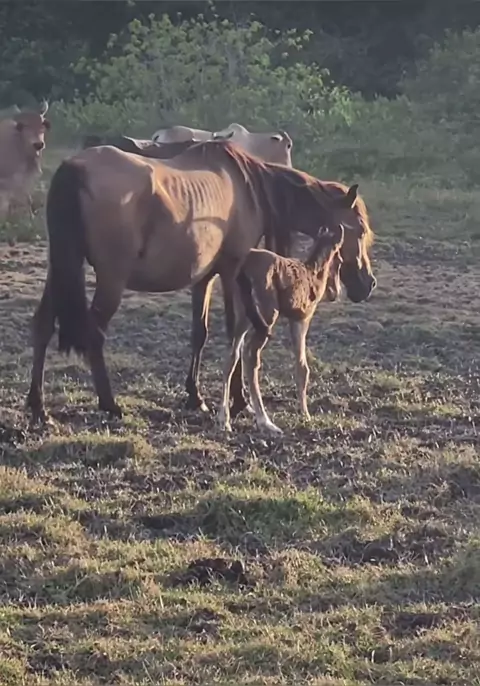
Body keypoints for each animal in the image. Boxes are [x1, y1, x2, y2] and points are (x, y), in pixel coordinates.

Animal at [26, 140, 376, 422]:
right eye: (358, 229)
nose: (367, 283)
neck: (248, 188)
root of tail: (75, 169)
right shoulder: (233, 271)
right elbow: (234, 334)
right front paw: (238, 401)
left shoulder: (204, 278)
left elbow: (200, 333)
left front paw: (196, 396)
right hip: (111, 279)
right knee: (94, 333)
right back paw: (109, 404)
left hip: (60, 269)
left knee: (43, 324)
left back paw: (38, 407)